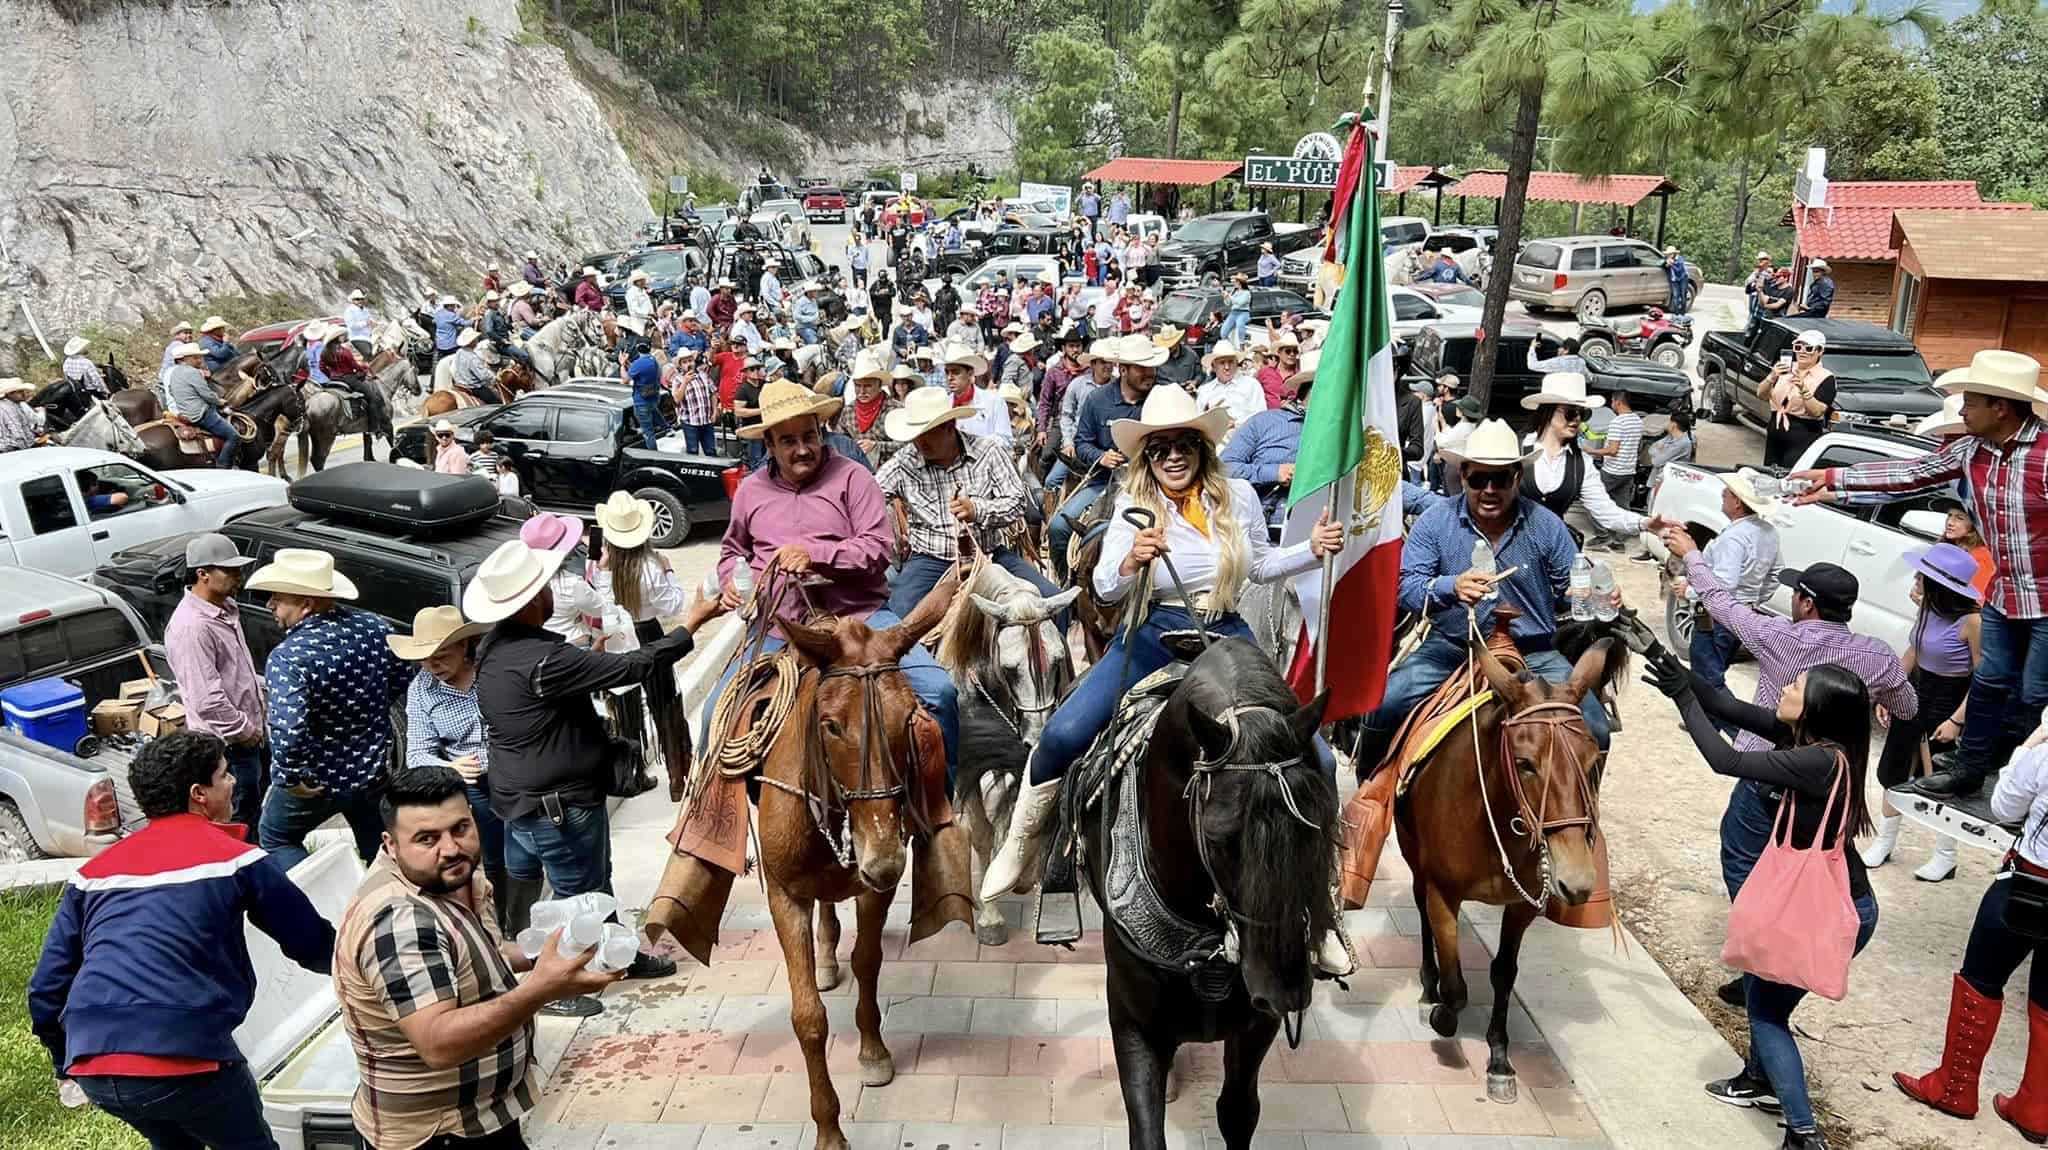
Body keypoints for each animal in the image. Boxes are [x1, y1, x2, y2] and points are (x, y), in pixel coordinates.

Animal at [937, 556, 1081, 941]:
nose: (1037, 736)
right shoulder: (968, 767)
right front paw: (990, 915)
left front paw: (1023, 875)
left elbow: (1017, 812)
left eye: (1058, 661)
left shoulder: (1017, 758)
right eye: (1010, 668)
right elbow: (982, 833)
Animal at [1073, 634, 1343, 1145]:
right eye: (1219, 839)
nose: (1286, 991)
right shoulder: (1132, 1022)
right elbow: (1146, 1129)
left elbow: (1237, 1111)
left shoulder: (1256, 1024)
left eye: (1322, 826)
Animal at [1400, 617, 1622, 1104]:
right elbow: (1457, 986)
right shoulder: (1443, 891)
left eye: (1593, 762)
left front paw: (1500, 1059)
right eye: (1525, 763)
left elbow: (1504, 972)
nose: (1577, 880)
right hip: (1413, 857)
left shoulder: (1523, 905)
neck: (1497, 823)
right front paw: (1442, 1013)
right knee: (1421, 912)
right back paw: (1427, 987)